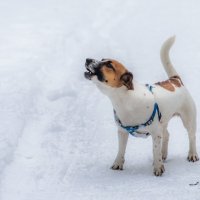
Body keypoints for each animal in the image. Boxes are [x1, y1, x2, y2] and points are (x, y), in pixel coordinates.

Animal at [83, 36, 198, 176]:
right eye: (102, 59)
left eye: (109, 65)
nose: (87, 59)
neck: (125, 100)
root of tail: (175, 80)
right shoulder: (122, 132)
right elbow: (121, 150)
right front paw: (118, 163)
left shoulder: (155, 132)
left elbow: (155, 150)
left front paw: (158, 167)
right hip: (163, 122)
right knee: (167, 135)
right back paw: (163, 154)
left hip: (188, 119)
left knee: (191, 136)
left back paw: (192, 154)